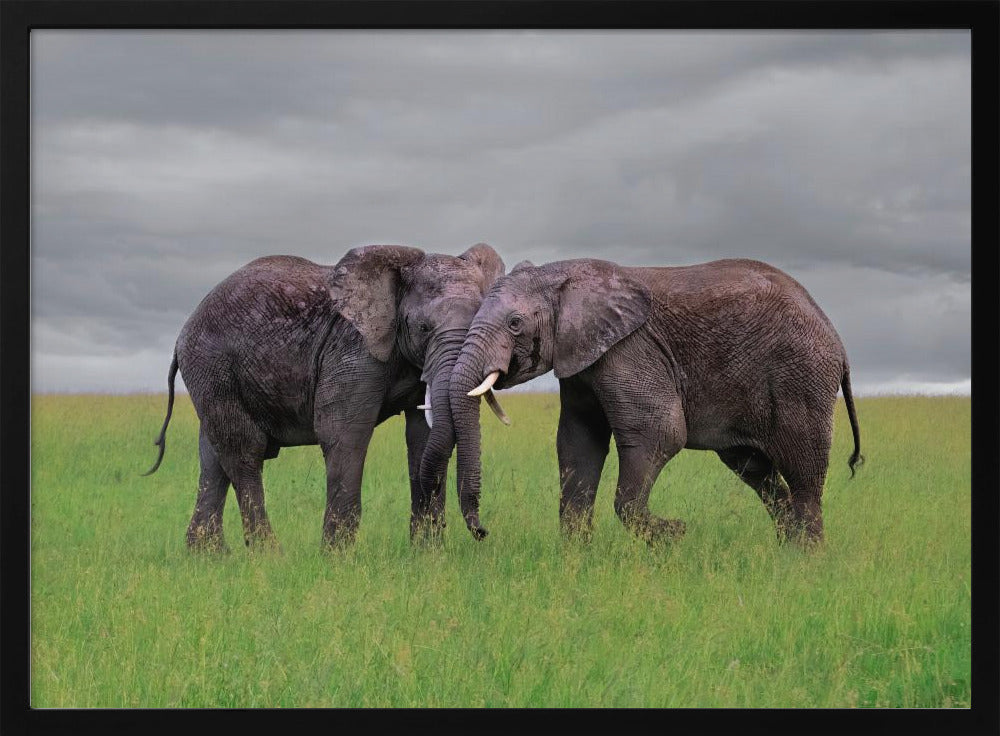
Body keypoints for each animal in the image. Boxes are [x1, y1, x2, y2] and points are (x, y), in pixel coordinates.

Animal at [143, 243, 508, 551]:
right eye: (424, 329)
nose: (482, 531)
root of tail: (182, 333)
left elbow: (422, 437)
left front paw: (427, 556)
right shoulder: (352, 350)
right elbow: (344, 433)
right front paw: (338, 558)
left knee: (212, 457)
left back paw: (210, 557)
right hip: (213, 365)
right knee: (244, 451)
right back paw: (269, 557)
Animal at [449, 257, 863, 546]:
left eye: (515, 324)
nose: (482, 532)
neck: (567, 275)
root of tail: (836, 337)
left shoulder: (630, 349)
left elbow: (659, 433)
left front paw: (674, 534)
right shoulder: (583, 359)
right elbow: (578, 443)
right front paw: (575, 559)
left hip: (800, 377)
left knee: (803, 474)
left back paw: (806, 561)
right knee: (758, 474)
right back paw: (786, 552)